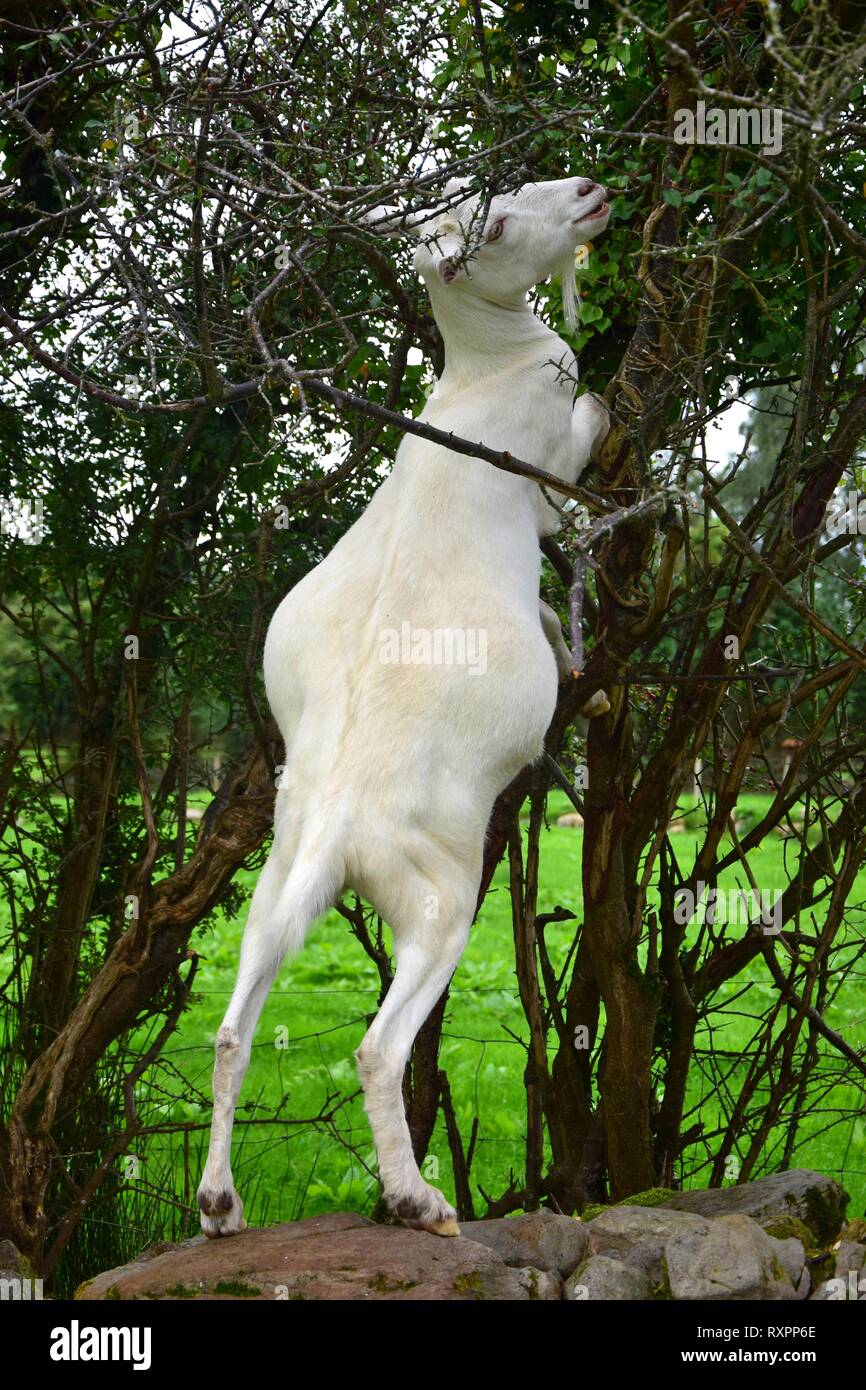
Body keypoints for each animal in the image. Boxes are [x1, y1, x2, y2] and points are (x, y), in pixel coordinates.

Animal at [200, 176, 614, 1239]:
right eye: (498, 225)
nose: (590, 192)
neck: (477, 378)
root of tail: (341, 826)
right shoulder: (553, 473)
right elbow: (584, 448)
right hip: (441, 902)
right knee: (379, 1048)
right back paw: (415, 1198)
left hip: (273, 892)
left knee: (230, 1031)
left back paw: (219, 1203)